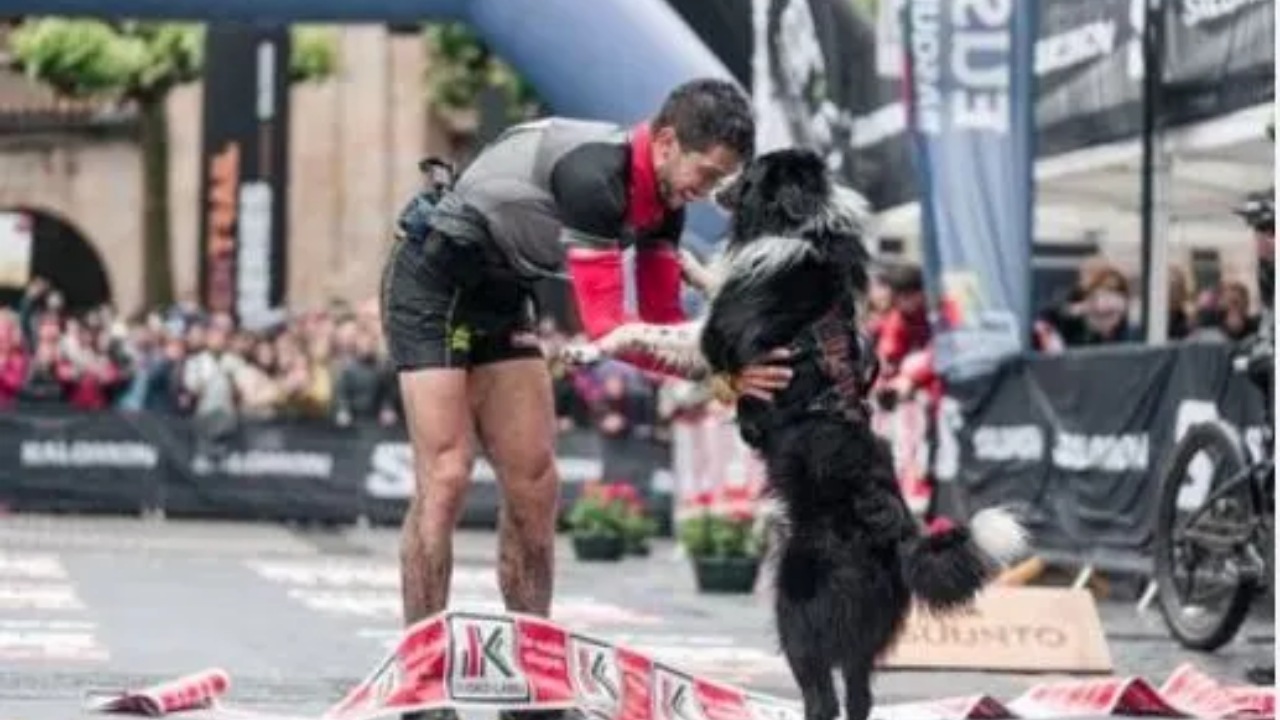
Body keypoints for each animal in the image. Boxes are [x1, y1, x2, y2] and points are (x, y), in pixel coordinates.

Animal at [565, 148, 1024, 717]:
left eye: (751, 170)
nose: (717, 180)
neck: (804, 229)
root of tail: (897, 533)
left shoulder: (713, 343)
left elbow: (637, 329)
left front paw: (586, 348)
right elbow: (705, 286)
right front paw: (692, 266)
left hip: (797, 610)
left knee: (822, 698)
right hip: (862, 637)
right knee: (859, 698)